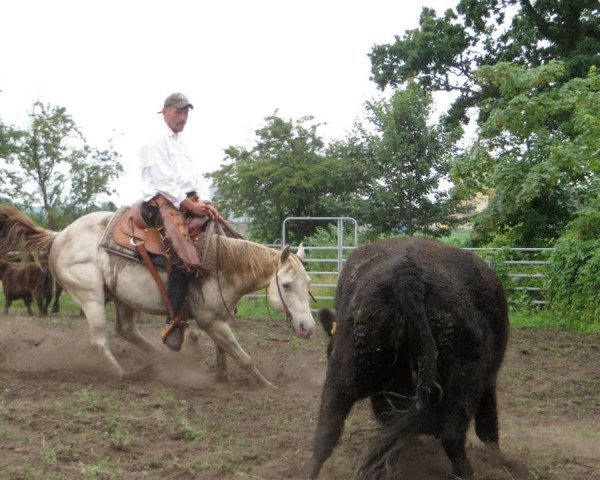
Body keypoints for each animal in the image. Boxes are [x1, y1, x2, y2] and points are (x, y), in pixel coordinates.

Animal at [0, 205, 316, 386]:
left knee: (126, 330)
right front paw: (270, 387)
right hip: (91, 296)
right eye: (287, 285)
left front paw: (222, 377)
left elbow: (224, 353)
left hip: (123, 297)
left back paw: (162, 361)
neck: (220, 263)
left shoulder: (217, 320)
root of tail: (58, 235)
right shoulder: (211, 320)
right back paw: (122, 375)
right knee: (100, 339)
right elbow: (243, 357)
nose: (307, 327)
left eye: (308, 283)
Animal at [308, 237, 508, 480]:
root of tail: (408, 279)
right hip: (466, 379)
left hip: (343, 375)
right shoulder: (488, 381)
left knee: (325, 433)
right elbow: (487, 426)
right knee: (453, 436)